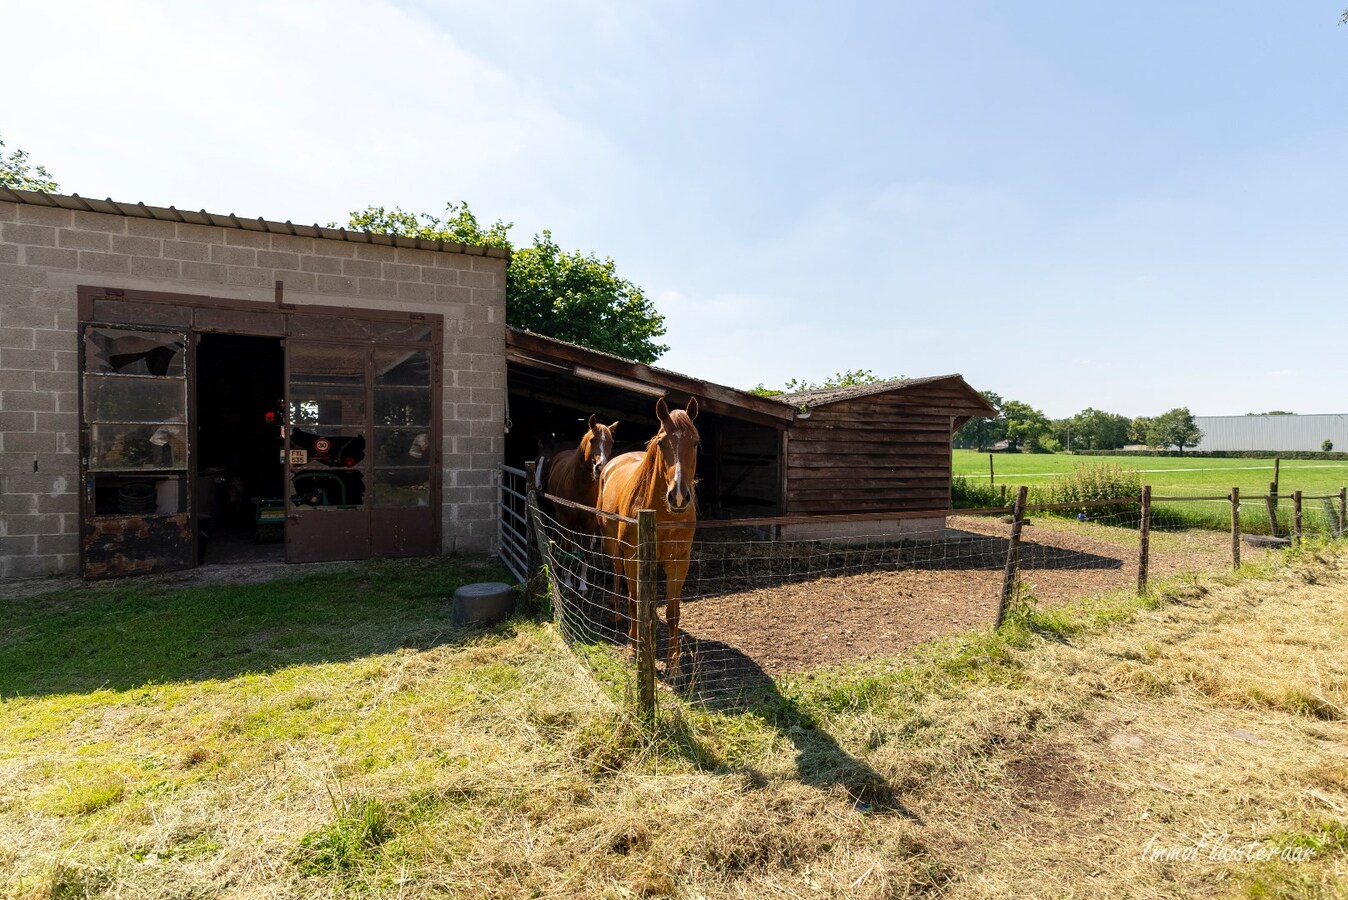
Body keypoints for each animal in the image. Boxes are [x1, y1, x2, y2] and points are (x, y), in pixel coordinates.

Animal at [536, 414, 620, 598]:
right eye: (592, 440)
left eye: (611, 442)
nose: (600, 468)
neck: (579, 488)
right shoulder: (565, 521)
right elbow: (568, 550)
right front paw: (568, 584)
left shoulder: (589, 524)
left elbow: (586, 552)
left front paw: (582, 585)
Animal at [601, 396, 706, 673]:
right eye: (661, 442)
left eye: (695, 442)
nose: (678, 497)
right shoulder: (634, 558)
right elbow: (635, 602)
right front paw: (634, 651)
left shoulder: (679, 562)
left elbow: (673, 612)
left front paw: (674, 664)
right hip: (613, 547)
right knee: (617, 575)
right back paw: (615, 615)